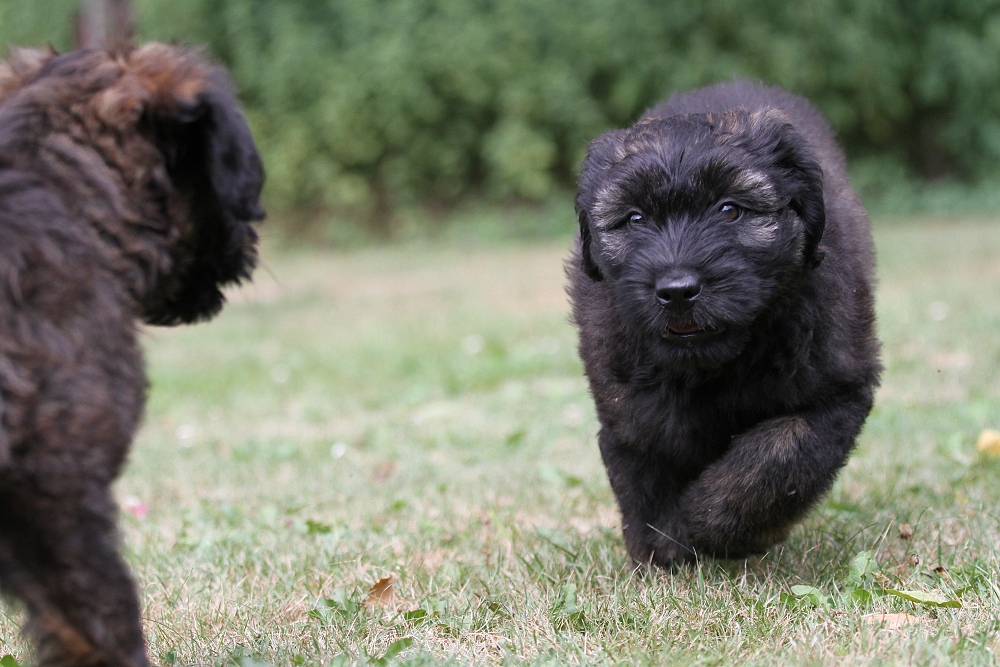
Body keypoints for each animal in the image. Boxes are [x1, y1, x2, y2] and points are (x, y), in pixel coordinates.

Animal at [568, 81, 880, 568]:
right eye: (635, 218)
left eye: (730, 210)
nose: (677, 291)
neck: (714, 367)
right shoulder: (627, 403)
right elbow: (644, 467)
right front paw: (662, 548)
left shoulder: (838, 390)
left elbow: (778, 457)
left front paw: (711, 519)